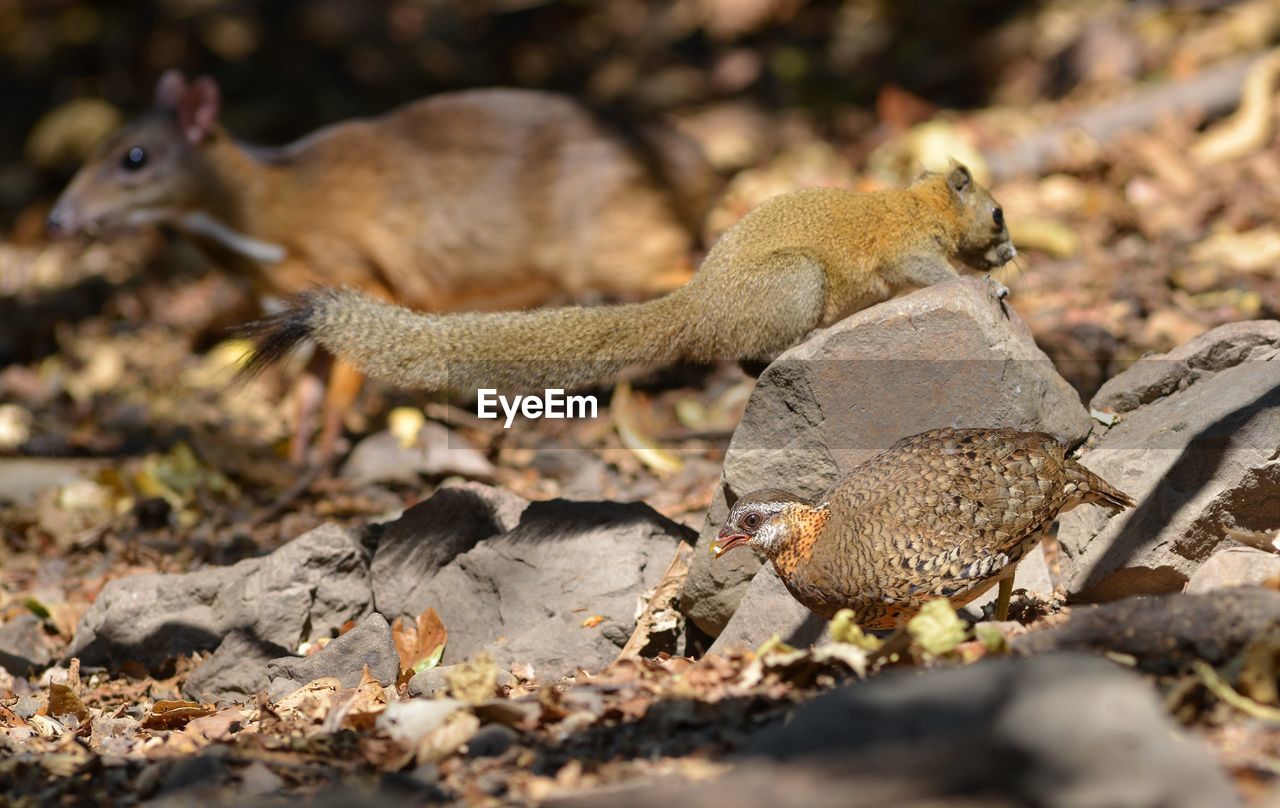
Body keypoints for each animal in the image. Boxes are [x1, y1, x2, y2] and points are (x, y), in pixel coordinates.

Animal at [49, 68, 716, 458]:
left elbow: (340, 387)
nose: (57, 219)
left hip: (616, 250)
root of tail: (691, 164)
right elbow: (308, 391)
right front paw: (295, 463)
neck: (267, 223)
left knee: (686, 271)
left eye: (135, 157)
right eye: (96, 148)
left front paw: (321, 465)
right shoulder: (306, 305)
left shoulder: (361, 275)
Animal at [244, 166, 1013, 399]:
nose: (1011, 252)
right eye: (1000, 213)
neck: (915, 200)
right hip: (797, 278)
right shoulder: (907, 250)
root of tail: (696, 304)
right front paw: (987, 290)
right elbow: (928, 274)